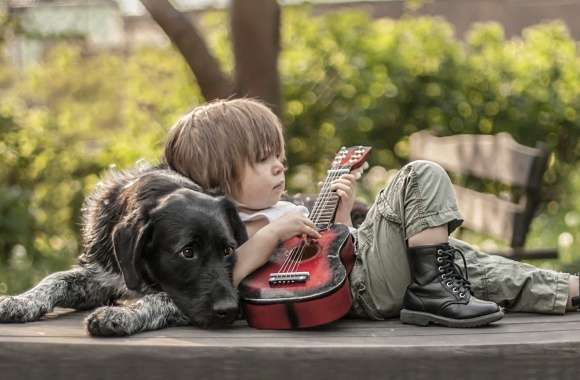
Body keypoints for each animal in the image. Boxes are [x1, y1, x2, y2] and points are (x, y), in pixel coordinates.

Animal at [0, 163, 247, 336]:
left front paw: (122, 314)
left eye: (228, 251)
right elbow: (55, 279)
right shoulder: (101, 279)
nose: (231, 309)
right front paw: (21, 301)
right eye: (187, 252)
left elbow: (159, 298)